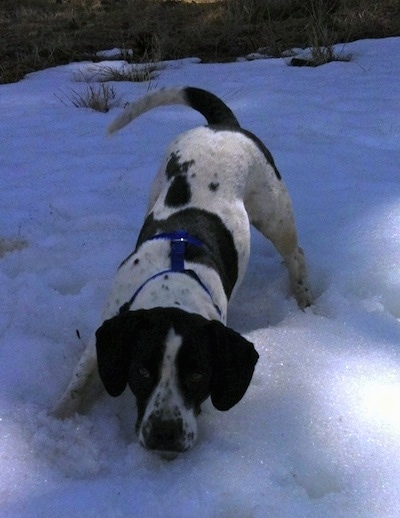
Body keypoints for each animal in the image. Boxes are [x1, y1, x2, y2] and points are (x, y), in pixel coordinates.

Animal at [52, 88, 312, 456]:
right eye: (141, 371)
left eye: (197, 375)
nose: (165, 434)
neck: (171, 280)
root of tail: (221, 125)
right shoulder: (101, 339)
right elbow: (77, 384)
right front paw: (55, 420)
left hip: (274, 212)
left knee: (295, 256)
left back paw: (304, 299)